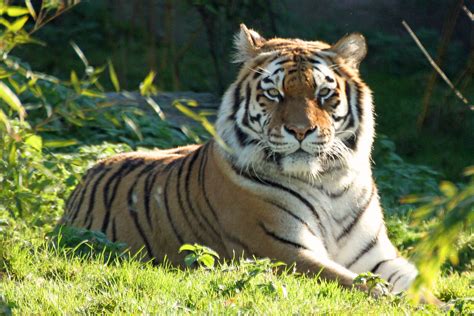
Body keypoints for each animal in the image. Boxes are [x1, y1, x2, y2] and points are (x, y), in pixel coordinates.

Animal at [62, 24, 418, 296]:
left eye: (323, 94)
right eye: (274, 93)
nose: (300, 130)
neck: (328, 182)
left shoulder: (379, 257)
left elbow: (416, 282)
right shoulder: (284, 251)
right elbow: (369, 287)